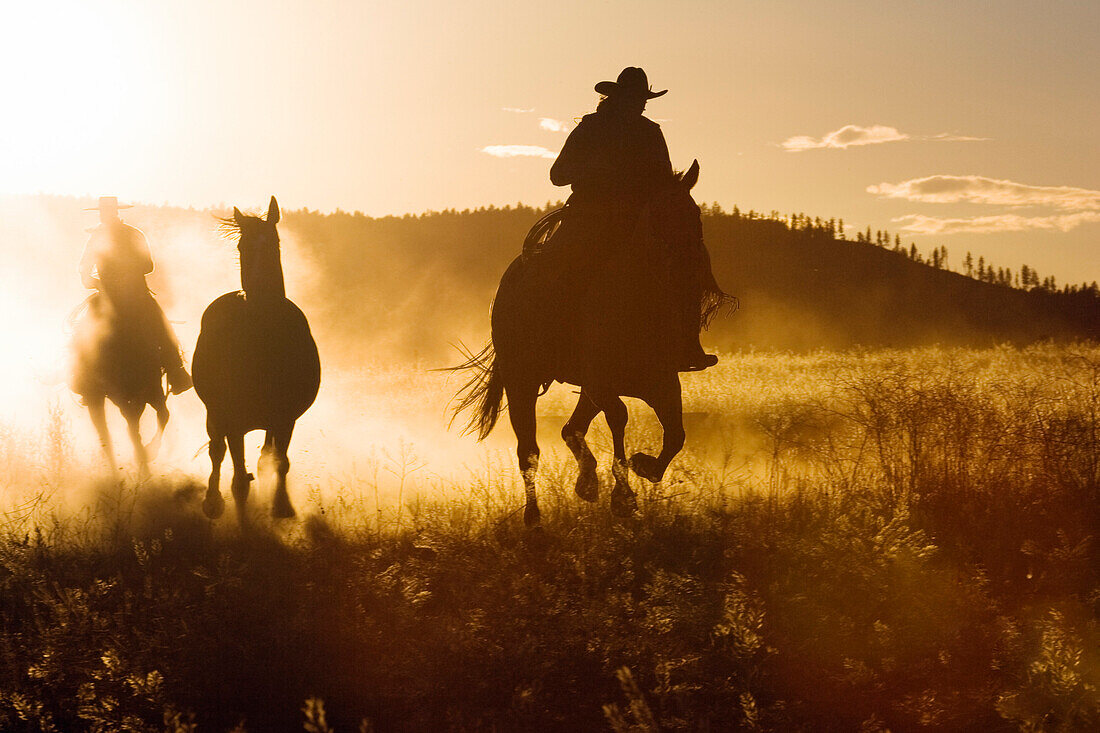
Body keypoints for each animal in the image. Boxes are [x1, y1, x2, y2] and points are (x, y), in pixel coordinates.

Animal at [70, 294, 170, 477]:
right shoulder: (122, 396)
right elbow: (133, 427)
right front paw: (145, 458)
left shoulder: (152, 389)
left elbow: (163, 415)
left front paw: (148, 453)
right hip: (96, 398)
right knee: (105, 435)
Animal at [192, 195, 321, 519]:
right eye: (242, 246)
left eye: (274, 242)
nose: (259, 289)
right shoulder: (234, 421)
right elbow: (238, 478)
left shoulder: (285, 418)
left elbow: (278, 462)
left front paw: (281, 506)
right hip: (216, 414)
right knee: (217, 452)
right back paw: (212, 502)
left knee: (264, 458)